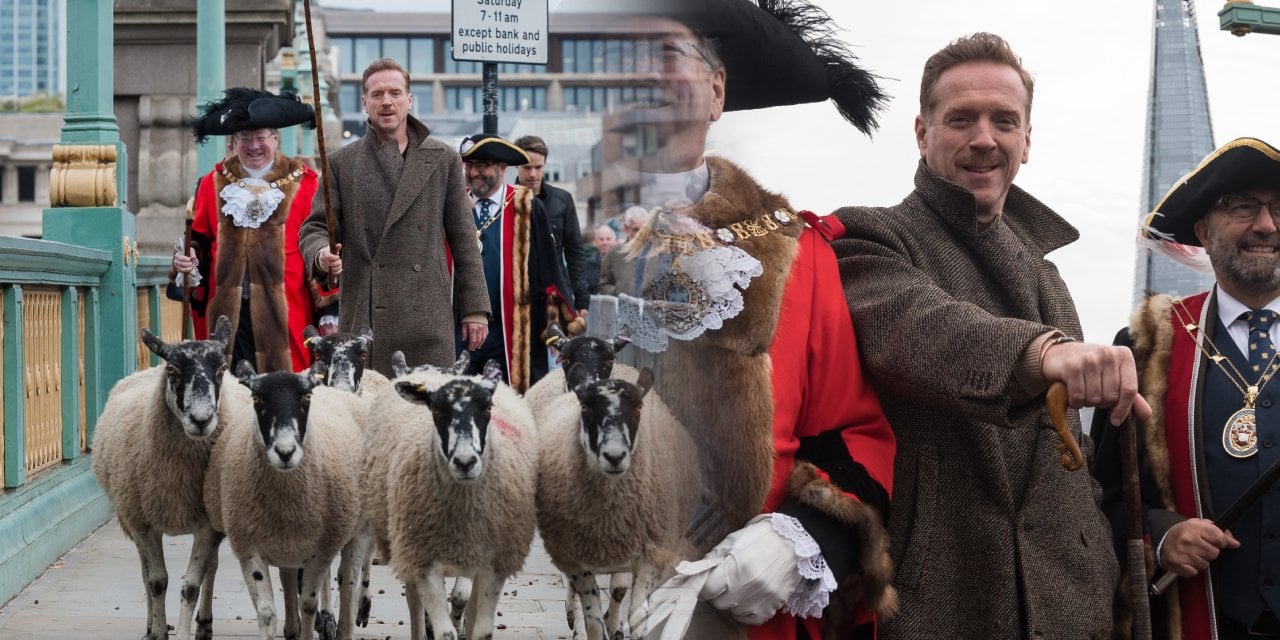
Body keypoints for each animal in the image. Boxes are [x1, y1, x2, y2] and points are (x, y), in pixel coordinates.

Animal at [93, 317, 239, 640]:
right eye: (172, 370)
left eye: (222, 369)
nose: (201, 420)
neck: (177, 475)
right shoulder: (143, 524)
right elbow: (156, 581)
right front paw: (159, 631)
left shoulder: (207, 526)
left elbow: (191, 586)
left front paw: (184, 632)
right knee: (145, 573)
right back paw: (150, 626)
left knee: (211, 568)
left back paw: (204, 625)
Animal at [203, 360, 366, 640]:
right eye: (256, 398)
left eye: (306, 396)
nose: (285, 452)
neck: (287, 498)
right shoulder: (250, 547)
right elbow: (267, 612)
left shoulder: (320, 551)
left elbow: (309, 604)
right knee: (289, 579)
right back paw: (292, 628)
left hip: (356, 530)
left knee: (349, 585)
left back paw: (344, 628)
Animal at [363, 360, 537, 640]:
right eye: (435, 410)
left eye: (488, 407)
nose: (465, 462)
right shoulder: (424, 561)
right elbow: (444, 630)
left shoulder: (489, 561)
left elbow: (473, 615)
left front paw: (463, 622)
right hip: (406, 544)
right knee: (414, 600)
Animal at [535, 366, 706, 640]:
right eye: (586, 408)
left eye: (638, 407)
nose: (614, 456)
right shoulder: (577, 559)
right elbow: (593, 619)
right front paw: (590, 627)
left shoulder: (648, 554)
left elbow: (632, 608)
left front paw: (618, 627)